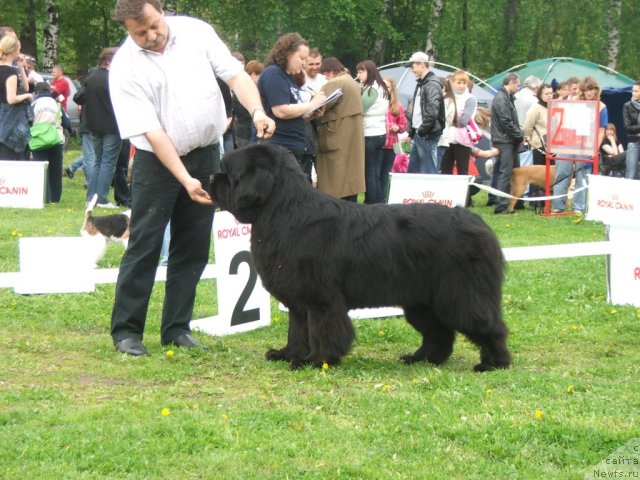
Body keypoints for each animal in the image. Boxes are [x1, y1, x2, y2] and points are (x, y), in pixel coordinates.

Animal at [212, 144, 512, 374]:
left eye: (229, 173)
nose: (212, 177)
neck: (283, 211)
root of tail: (478, 223)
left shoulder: (320, 300)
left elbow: (322, 331)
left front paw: (316, 360)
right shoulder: (299, 302)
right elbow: (297, 331)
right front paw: (288, 354)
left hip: (462, 296)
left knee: (488, 327)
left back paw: (493, 364)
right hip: (422, 302)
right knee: (439, 333)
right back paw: (421, 358)